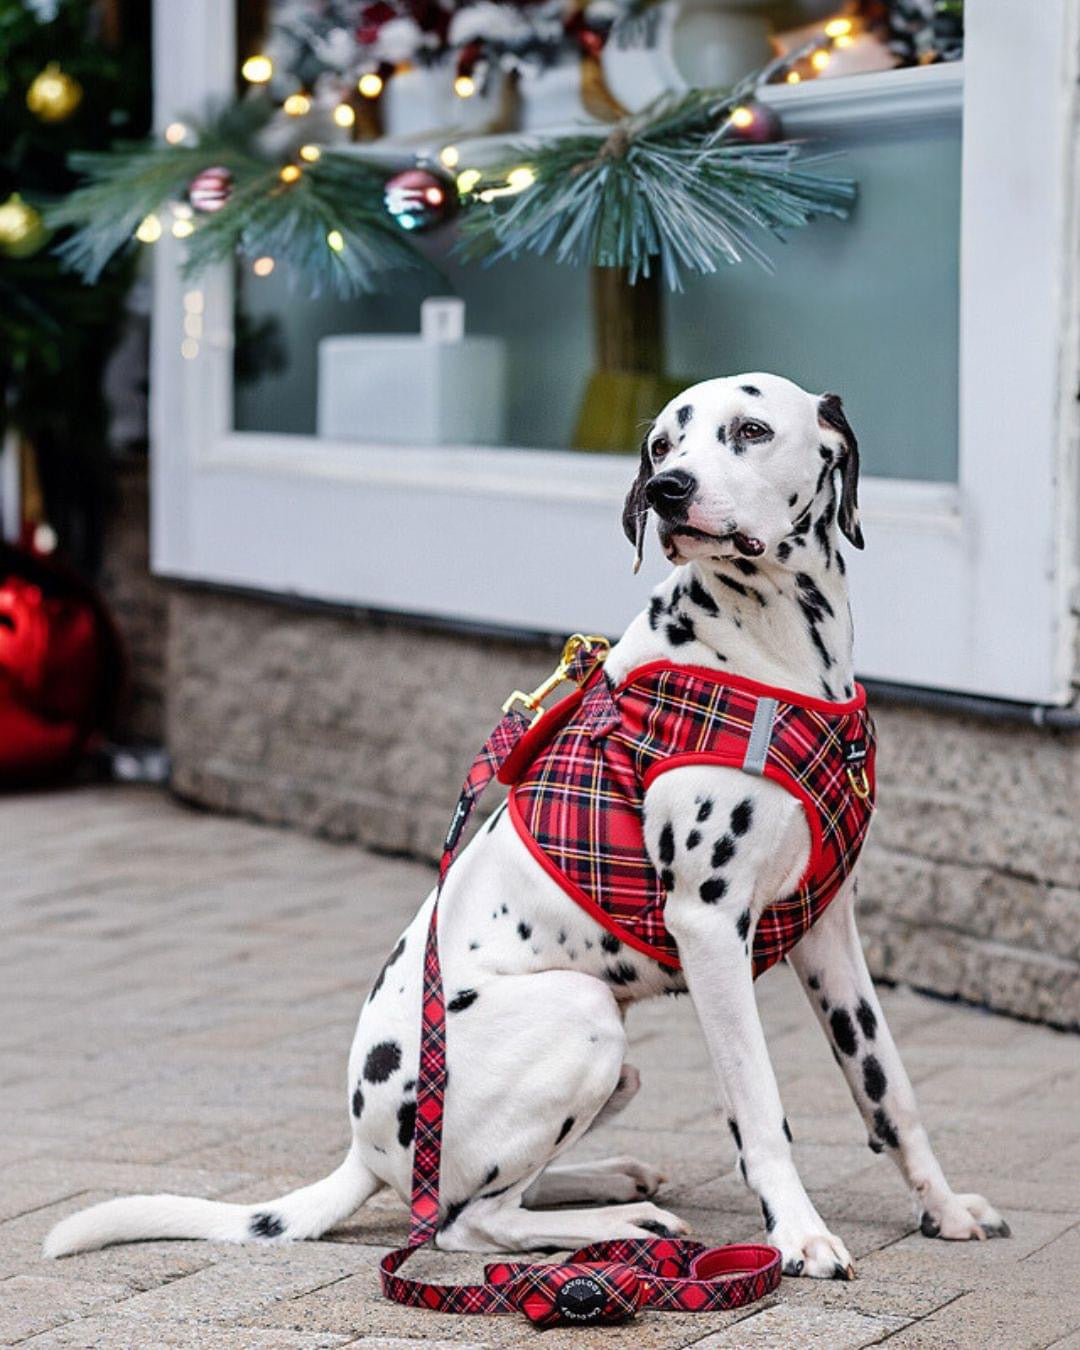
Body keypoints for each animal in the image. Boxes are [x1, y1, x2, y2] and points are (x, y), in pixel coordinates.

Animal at [40, 372, 1004, 1274]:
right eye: (662, 445)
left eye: (752, 430)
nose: (670, 491)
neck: (779, 656)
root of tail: (364, 1150)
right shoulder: (710, 928)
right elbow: (761, 1110)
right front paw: (798, 1235)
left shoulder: (828, 931)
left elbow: (887, 1088)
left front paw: (942, 1206)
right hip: (585, 1014)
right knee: (469, 1223)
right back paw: (617, 1222)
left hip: (616, 1064)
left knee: (484, 1197)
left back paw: (613, 1181)